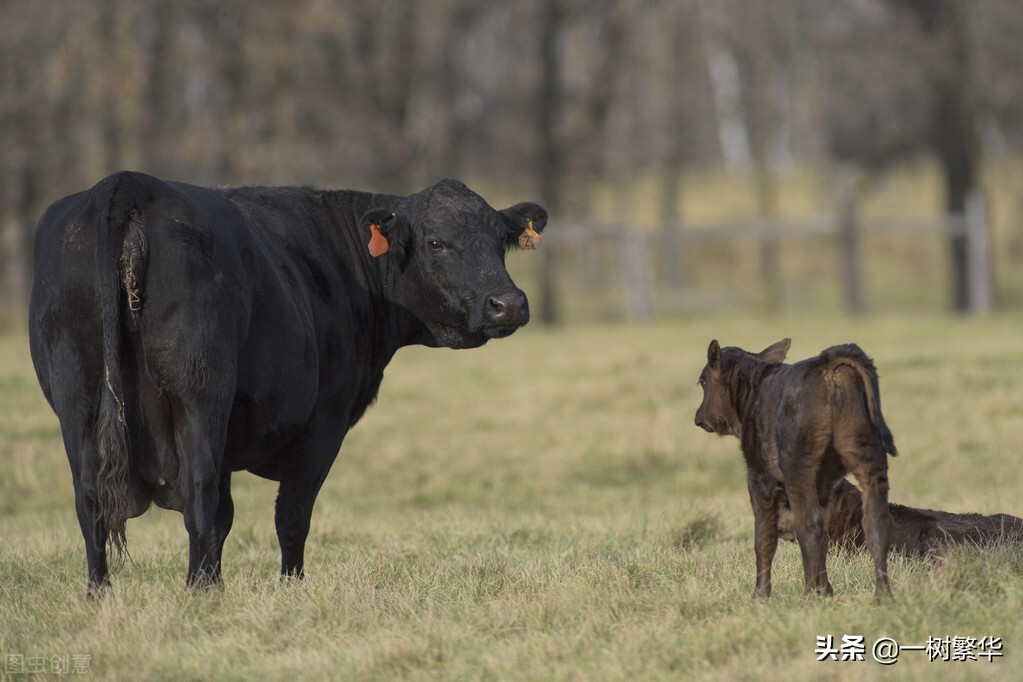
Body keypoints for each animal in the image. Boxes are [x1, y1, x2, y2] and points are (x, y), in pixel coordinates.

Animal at [28, 171, 548, 597]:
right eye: (437, 242)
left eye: (501, 240)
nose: (509, 303)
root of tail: (129, 184)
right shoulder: (324, 426)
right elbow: (290, 516)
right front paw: (291, 588)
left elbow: (225, 519)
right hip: (199, 394)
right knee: (197, 490)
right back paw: (197, 591)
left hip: (77, 400)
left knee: (90, 498)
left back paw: (101, 593)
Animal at [695, 339, 896, 601]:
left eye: (703, 381)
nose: (699, 418)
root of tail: (829, 365)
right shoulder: (826, 486)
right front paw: (827, 590)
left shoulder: (759, 477)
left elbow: (764, 537)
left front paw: (760, 595)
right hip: (869, 456)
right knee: (875, 519)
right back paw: (883, 595)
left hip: (798, 467)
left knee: (809, 526)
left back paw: (809, 595)